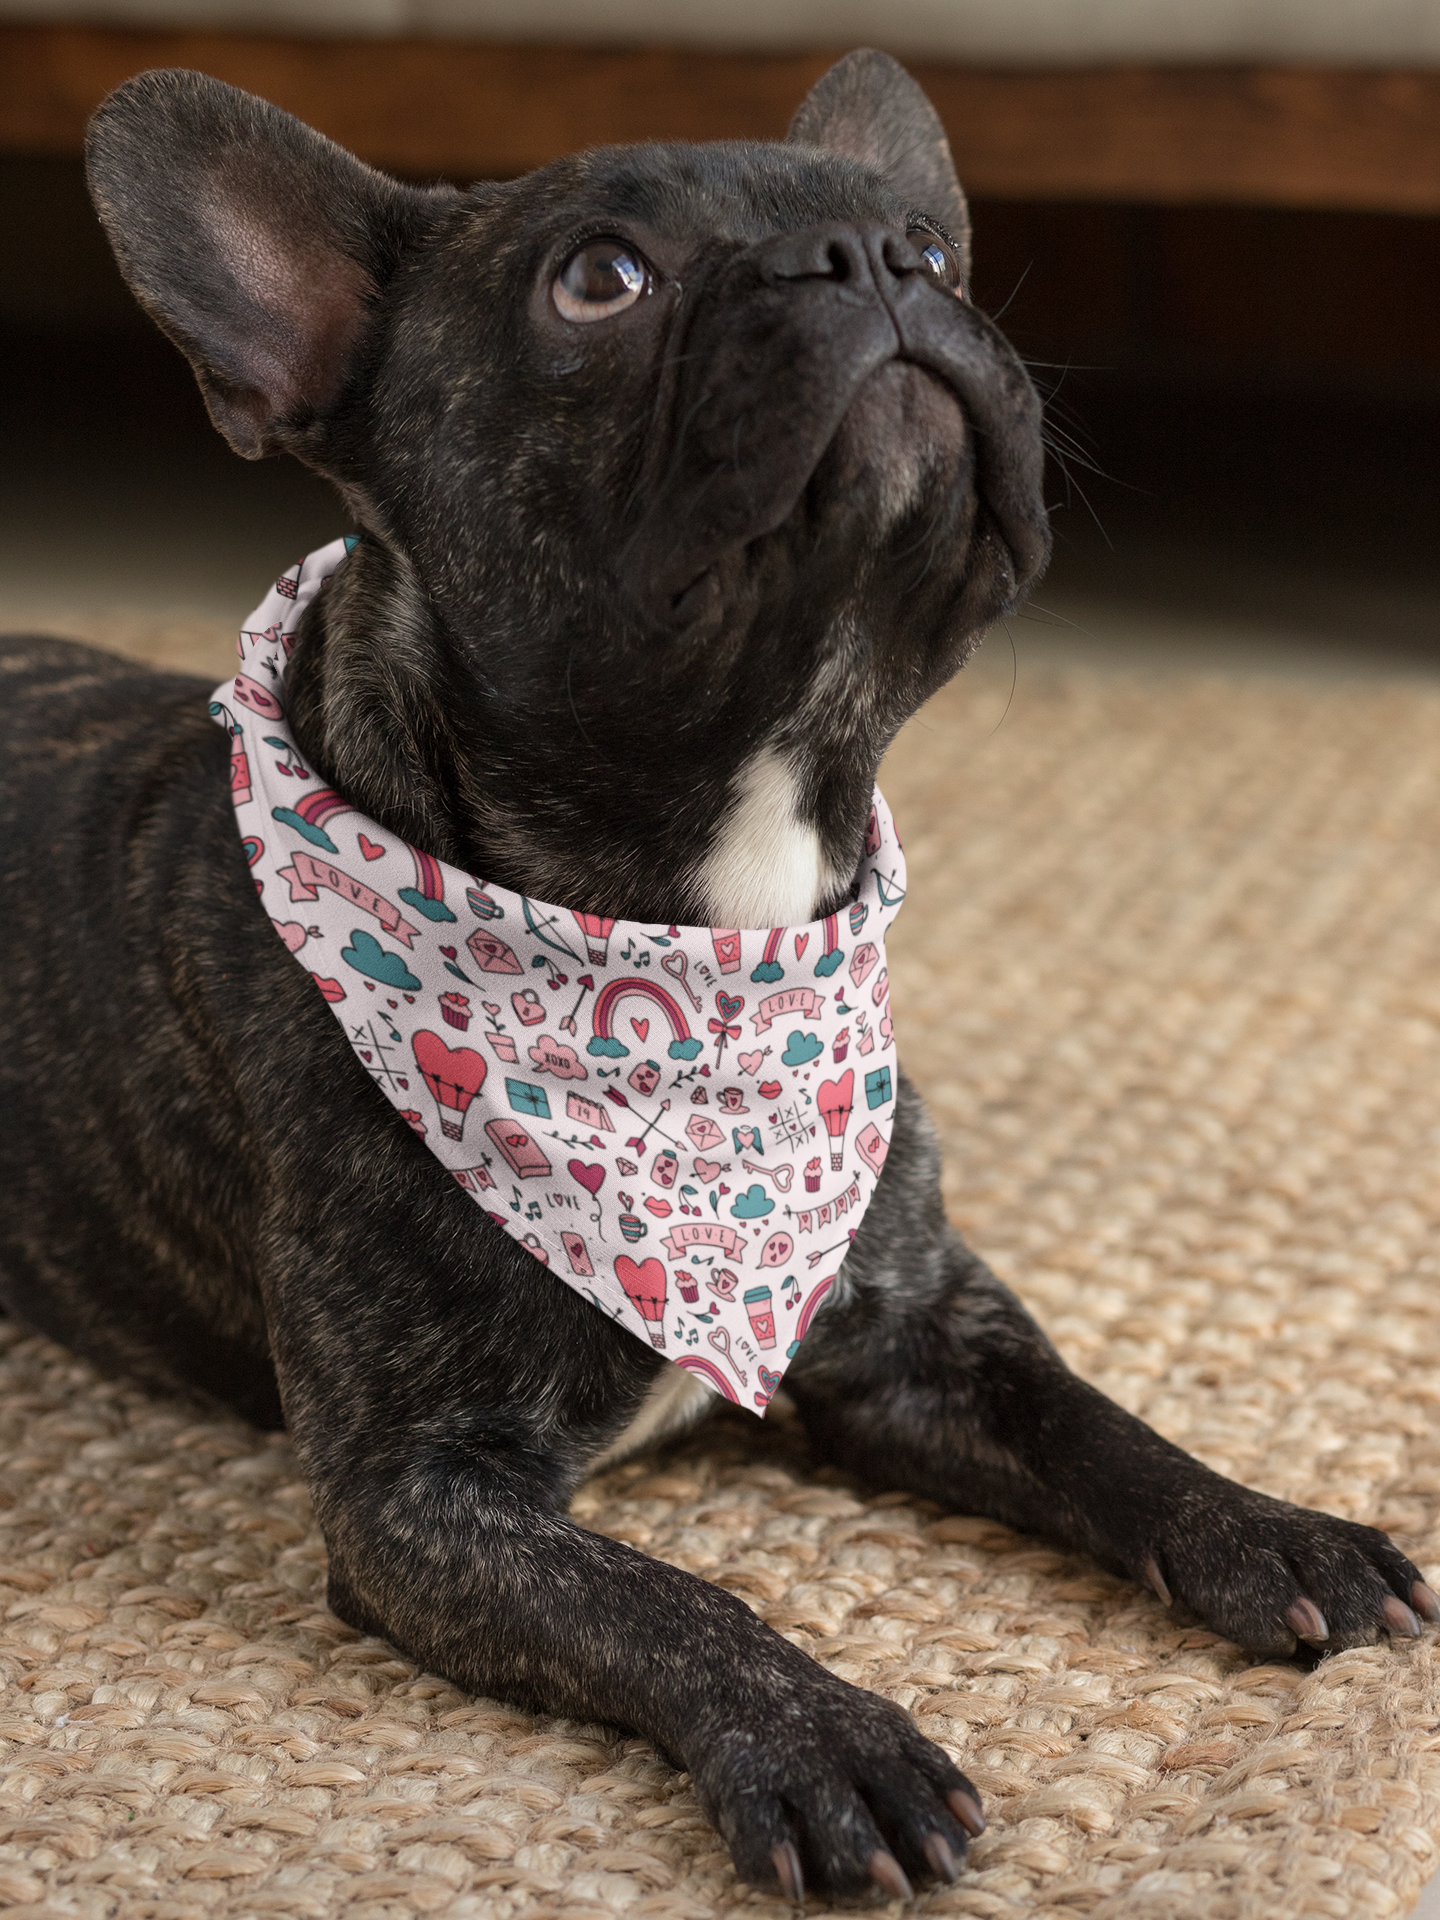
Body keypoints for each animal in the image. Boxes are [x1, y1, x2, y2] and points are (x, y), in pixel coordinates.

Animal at [0, 48, 1436, 1904]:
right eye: (600, 279)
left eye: (932, 247)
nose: (874, 260)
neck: (704, 928)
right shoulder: (423, 1501)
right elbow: (666, 1602)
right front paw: (826, 1742)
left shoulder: (919, 1330)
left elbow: (1095, 1424)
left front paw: (1272, 1525)